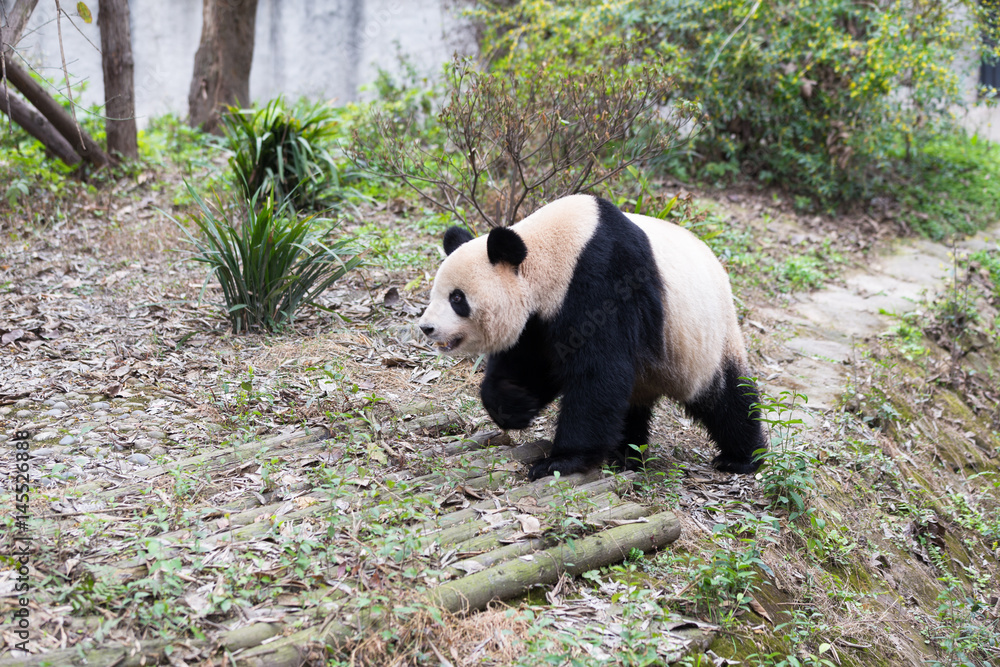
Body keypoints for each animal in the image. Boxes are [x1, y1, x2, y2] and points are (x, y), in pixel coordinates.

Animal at [414, 193, 764, 480]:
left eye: (457, 298)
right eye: (435, 293)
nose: (426, 327)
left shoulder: (606, 279)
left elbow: (599, 372)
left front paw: (560, 461)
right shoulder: (540, 319)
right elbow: (531, 363)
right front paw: (515, 406)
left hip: (703, 338)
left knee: (726, 397)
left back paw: (741, 458)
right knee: (632, 402)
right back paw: (626, 454)